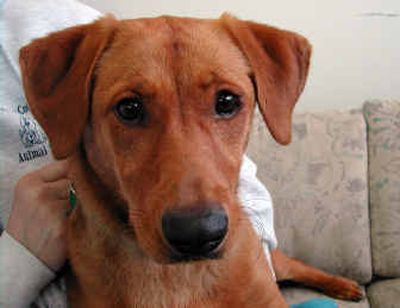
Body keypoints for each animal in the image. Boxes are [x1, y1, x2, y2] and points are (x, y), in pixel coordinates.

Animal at [18, 13, 362, 306]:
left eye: (227, 101)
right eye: (129, 108)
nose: (198, 233)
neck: (177, 279)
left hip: (277, 262)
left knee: (297, 265)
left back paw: (344, 284)